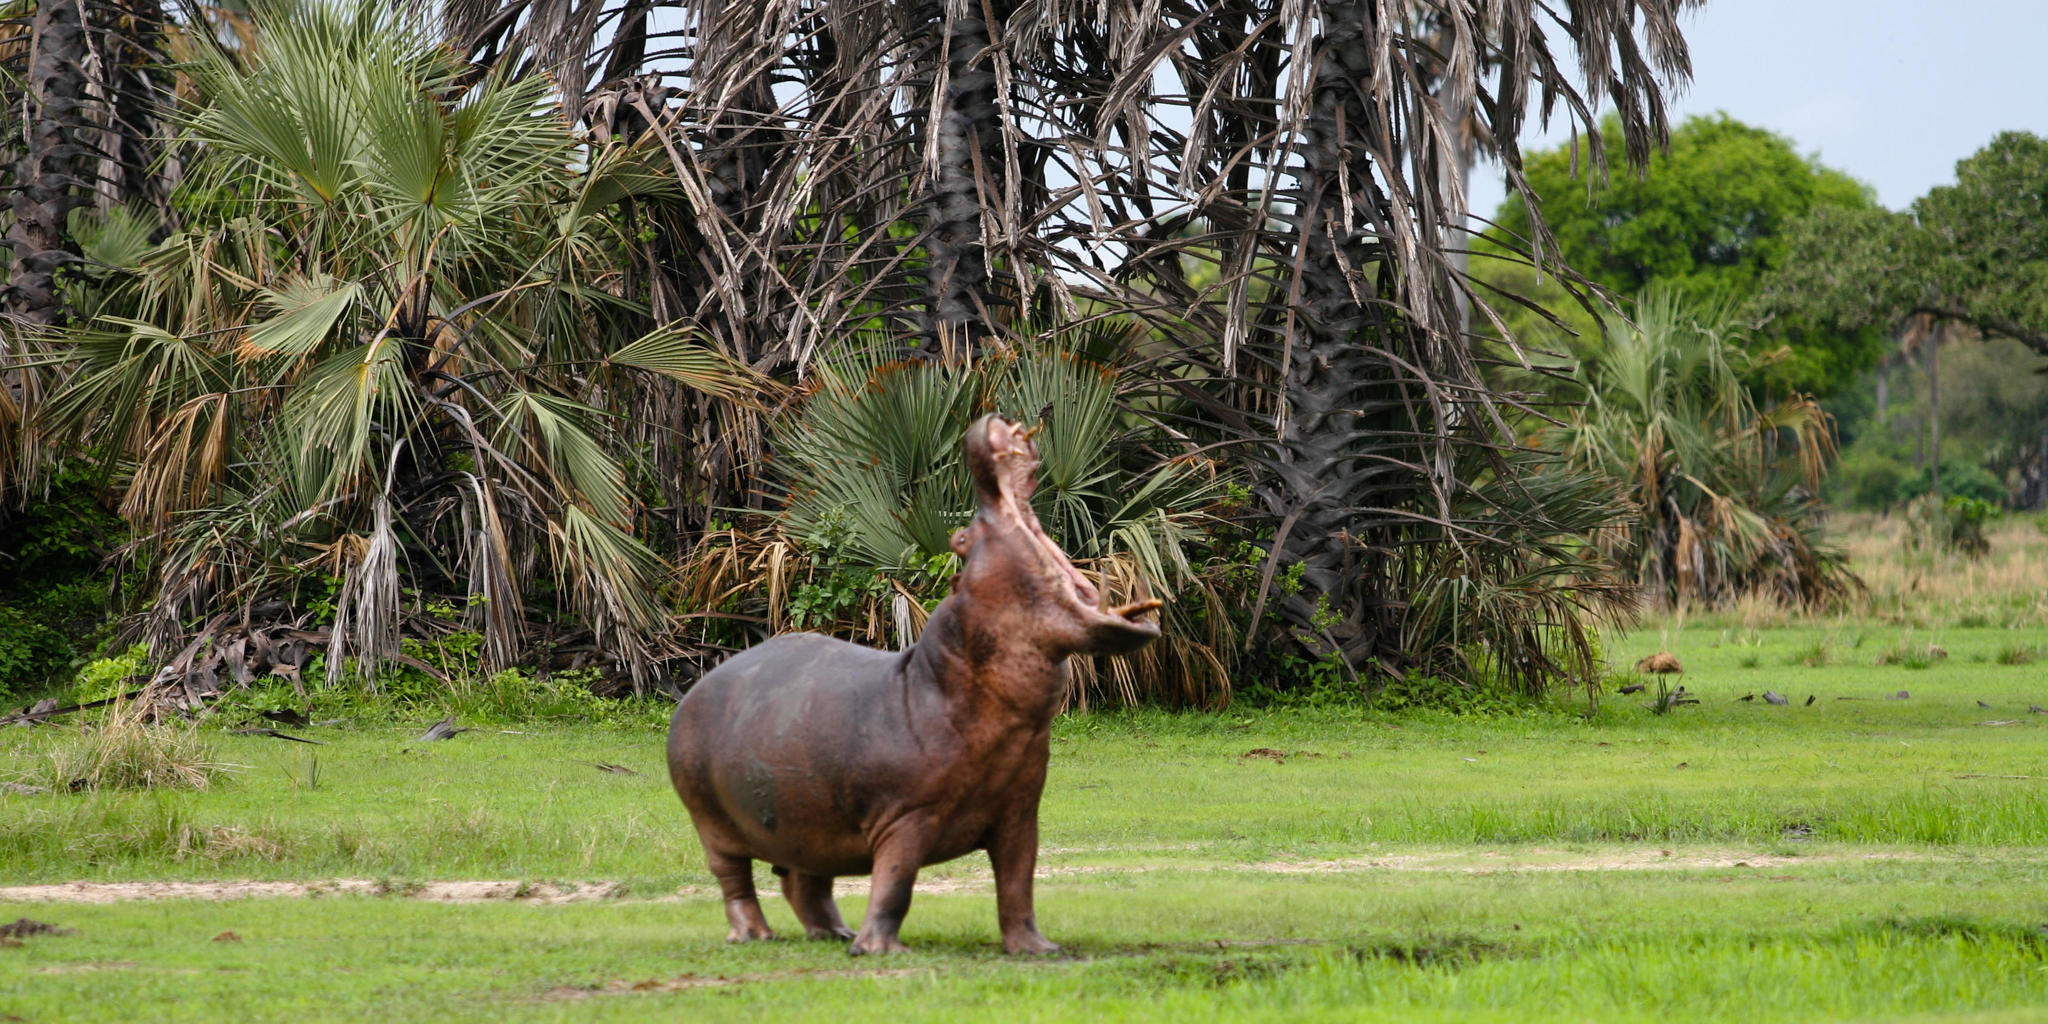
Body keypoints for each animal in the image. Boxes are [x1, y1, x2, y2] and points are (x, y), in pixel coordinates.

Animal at [663, 411, 1163, 954]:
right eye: (960, 539)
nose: (989, 422)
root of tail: (695, 689)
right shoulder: (907, 818)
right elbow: (896, 884)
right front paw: (880, 950)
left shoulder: (1019, 816)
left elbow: (1018, 885)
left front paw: (1038, 950)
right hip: (713, 824)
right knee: (735, 881)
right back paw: (755, 935)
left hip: (805, 819)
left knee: (803, 880)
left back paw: (835, 933)